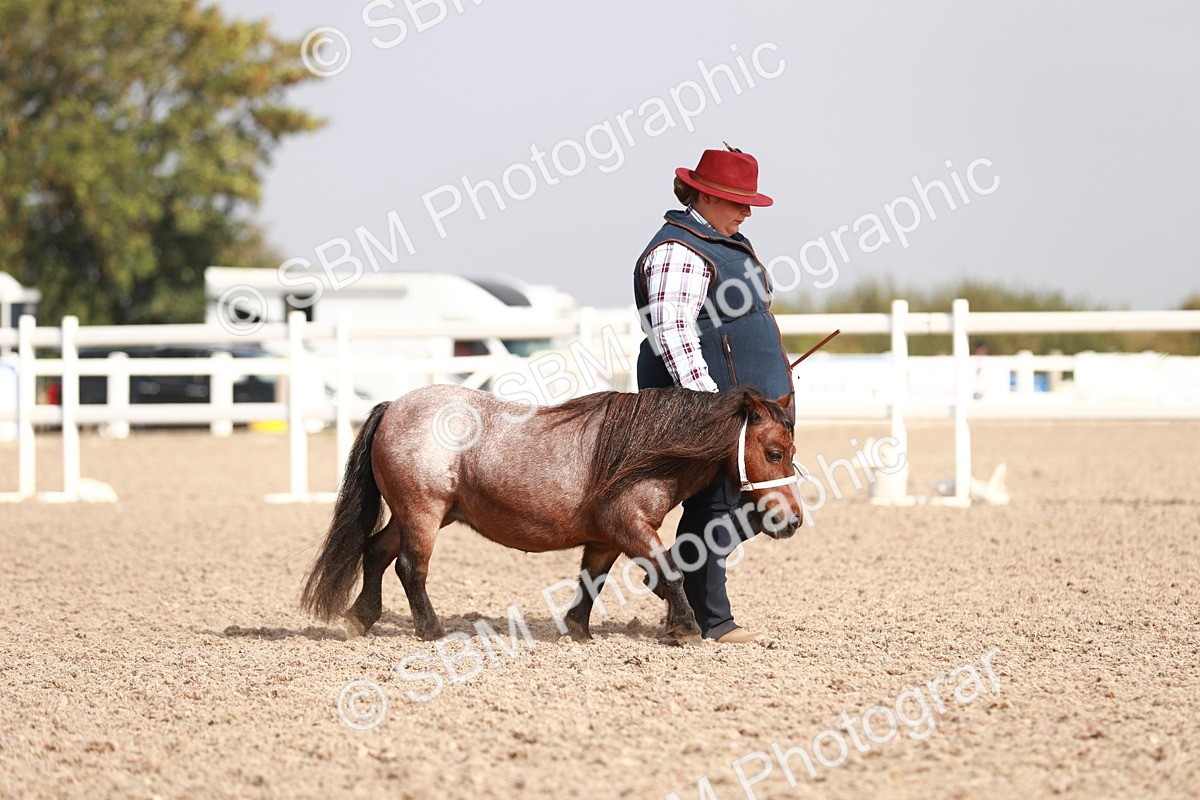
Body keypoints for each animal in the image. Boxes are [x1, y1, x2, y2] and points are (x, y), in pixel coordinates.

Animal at [300, 384, 804, 644]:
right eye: (774, 452)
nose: (793, 520)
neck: (643, 451)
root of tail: (394, 407)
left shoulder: (605, 539)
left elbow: (592, 582)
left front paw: (576, 630)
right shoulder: (631, 527)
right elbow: (672, 571)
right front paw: (686, 628)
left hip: (418, 515)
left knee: (375, 552)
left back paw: (361, 618)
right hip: (422, 512)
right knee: (410, 567)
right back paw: (431, 629)